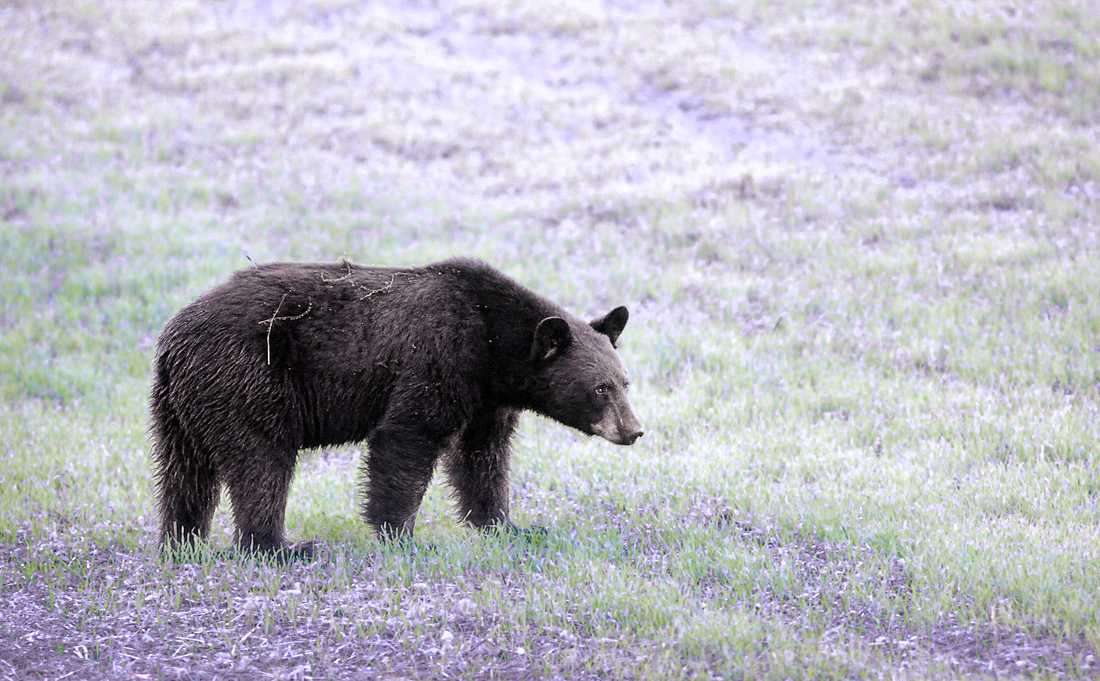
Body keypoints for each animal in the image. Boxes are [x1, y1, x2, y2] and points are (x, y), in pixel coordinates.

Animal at [150, 258, 642, 556]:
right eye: (600, 388)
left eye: (625, 382)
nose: (633, 430)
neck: (492, 343)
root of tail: (174, 337)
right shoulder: (438, 356)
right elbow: (407, 437)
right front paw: (403, 535)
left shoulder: (487, 400)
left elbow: (482, 457)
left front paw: (508, 525)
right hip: (249, 380)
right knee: (261, 462)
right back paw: (281, 547)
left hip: (183, 406)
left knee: (184, 473)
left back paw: (182, 541)